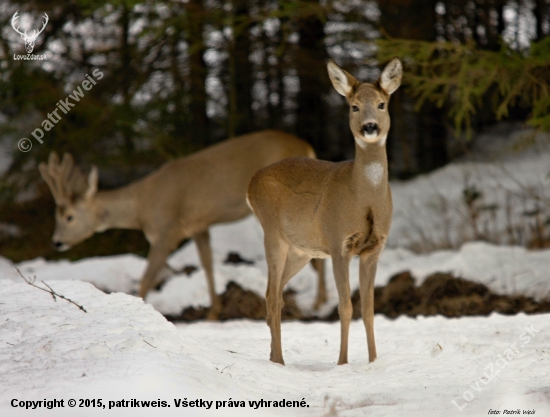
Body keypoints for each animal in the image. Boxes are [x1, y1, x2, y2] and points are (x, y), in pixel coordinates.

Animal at [40, 130, 328, 318]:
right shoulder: (198, 226)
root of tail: (307, 146)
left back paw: (318, 303)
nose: (56, 242)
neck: (141, 208)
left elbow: (146, 278)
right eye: (56, 214)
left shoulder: (167, 232)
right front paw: (214, 312)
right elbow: (207, 263)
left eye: (68, 216)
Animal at [248, 58, 404, 364]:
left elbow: (369, 309)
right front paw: (342, 362)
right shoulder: (337, 243)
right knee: (272, 296)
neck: (364, 199)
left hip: (301, 250)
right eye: (354, 106)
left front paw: (373, 361)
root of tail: (250, 184)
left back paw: (273, 357)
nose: (370, 126)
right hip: (272, 233)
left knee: (274, 292)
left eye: (381, 104)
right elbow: (345, 307)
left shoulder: (374, 248)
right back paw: (279, 361)